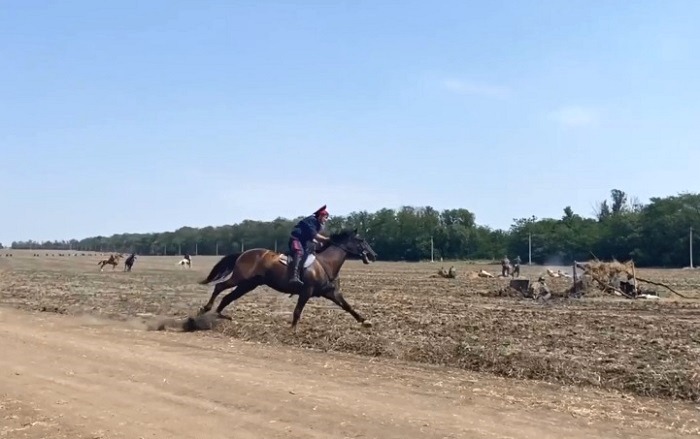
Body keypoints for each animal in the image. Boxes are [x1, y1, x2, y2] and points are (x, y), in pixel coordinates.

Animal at [197, 230, 378, 330]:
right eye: (361, 240)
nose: (374, 255)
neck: (326, 263)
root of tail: (244, 253)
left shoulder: (332, 293)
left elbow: (348, 307)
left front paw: (365, 322)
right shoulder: (306, 292)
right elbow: (297, 311)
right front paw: (292, 330)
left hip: (248, 284)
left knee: (228, 297)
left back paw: (220, 315)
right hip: (239, 278)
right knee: (219, 287)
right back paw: (206, 309)